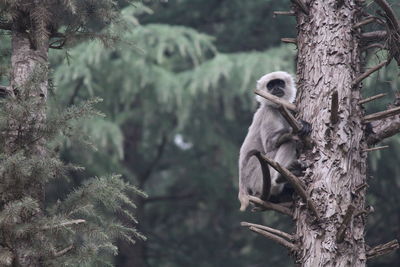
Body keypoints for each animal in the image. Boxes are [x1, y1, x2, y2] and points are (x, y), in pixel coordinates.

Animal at [238, 70, 310, 211]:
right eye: (270, 85)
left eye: (280, 83)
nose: (276, 89)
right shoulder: (269, 111)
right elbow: (270, 143)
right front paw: (296, 129)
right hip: (258, 178)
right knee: (289, 143)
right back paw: (280, 179)